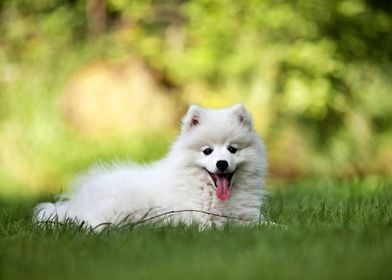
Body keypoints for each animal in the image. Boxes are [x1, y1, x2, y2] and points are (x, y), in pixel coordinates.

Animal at [33, 104, 268, 231]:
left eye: (232, 149)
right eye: (207, 151)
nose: (222, 163)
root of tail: (76, 201)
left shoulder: (249, 216)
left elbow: (266, 224)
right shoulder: (195, 216)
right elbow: (216, 225)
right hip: (119, 205)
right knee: (90, 224)